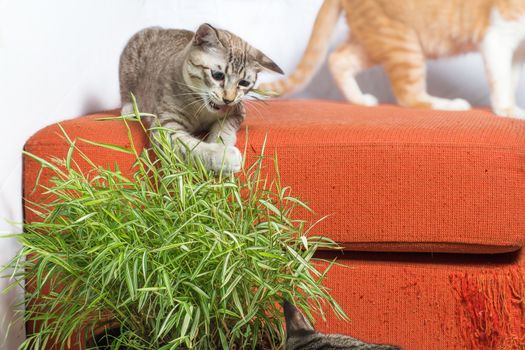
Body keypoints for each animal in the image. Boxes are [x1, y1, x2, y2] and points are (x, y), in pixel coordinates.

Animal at [118, 22, 282, 172]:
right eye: (218, 75)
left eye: (243, 83)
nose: (228, 99)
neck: (202, 109)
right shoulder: (165, 127)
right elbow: (191, 147)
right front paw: (224, 156)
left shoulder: (237, 111)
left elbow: (224, 128)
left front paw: (221, 143)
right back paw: (130, 109)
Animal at [260, 0, 524, 119]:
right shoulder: (497, 37)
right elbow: (501, 81)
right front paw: (508, 110)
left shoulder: (518, 51)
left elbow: (511, 79)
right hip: (404, 42)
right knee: (410, 96)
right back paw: (449, 105)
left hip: (375, 39)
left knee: (338, 59)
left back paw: (360, 100)